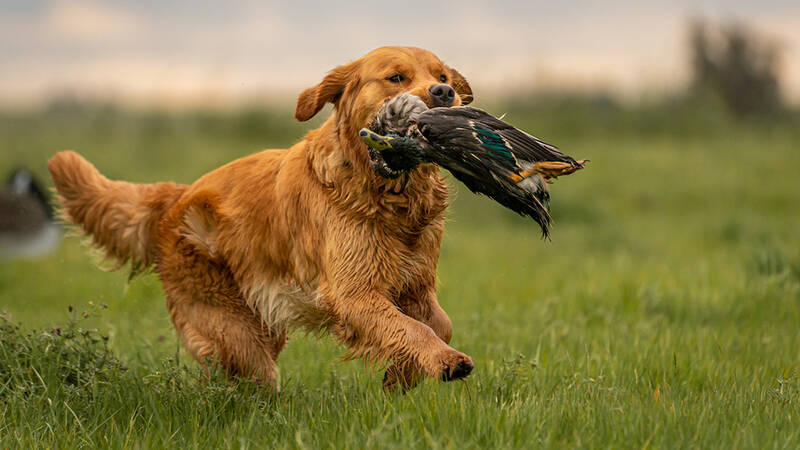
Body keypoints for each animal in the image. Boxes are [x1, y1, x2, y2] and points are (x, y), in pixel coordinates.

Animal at [48, 44, 476, 390]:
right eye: (396, 77)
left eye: (442, 77)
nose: (444, 93)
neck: (384, 193)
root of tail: (177, 196)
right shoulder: (354, 292)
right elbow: (411, 328)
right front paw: (443, 361)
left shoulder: (415, 284)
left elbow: (439, 324)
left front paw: (401, 377)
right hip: (235, 332)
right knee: (247, 381)